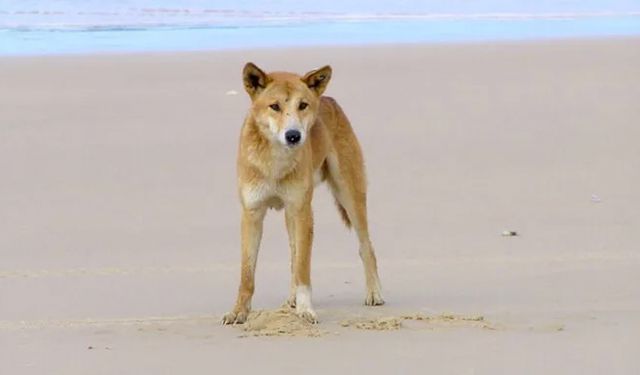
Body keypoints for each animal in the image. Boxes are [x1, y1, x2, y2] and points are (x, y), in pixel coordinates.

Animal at [222, 63, 382, 324]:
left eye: (303, 105)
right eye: (275, 106)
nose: (293, 135)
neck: (275, 164)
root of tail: (328, 98)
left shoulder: (302, 211)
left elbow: (303, 270)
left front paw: (306, 310)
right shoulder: (252, 213)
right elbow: (247, 275)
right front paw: (239, 312)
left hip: (348, 195)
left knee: (366, 246)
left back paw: (374, 292)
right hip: (292, 215)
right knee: (293, 256)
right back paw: (291, 299)